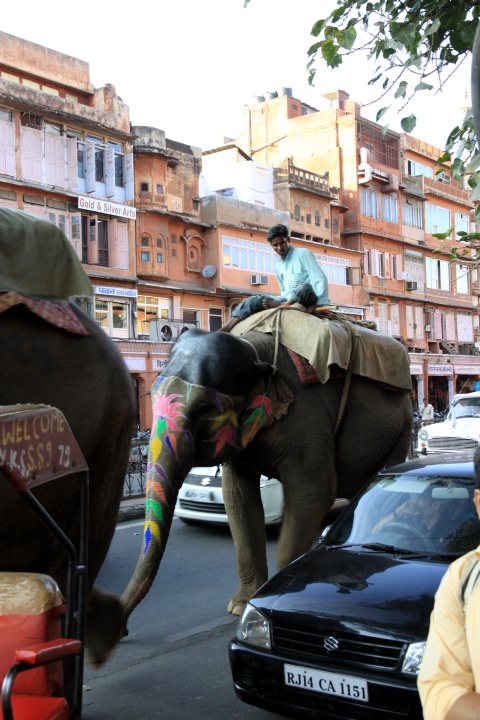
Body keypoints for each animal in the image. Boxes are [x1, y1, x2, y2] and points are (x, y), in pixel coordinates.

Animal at [121, 323, 413, 625]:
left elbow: (313, 494)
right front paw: (241, 605)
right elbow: (237, 497)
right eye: (152, 396)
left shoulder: (308, 420)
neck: (254, 350)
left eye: (205, 408)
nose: (122, 629)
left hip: (399, 432)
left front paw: (280, 595)